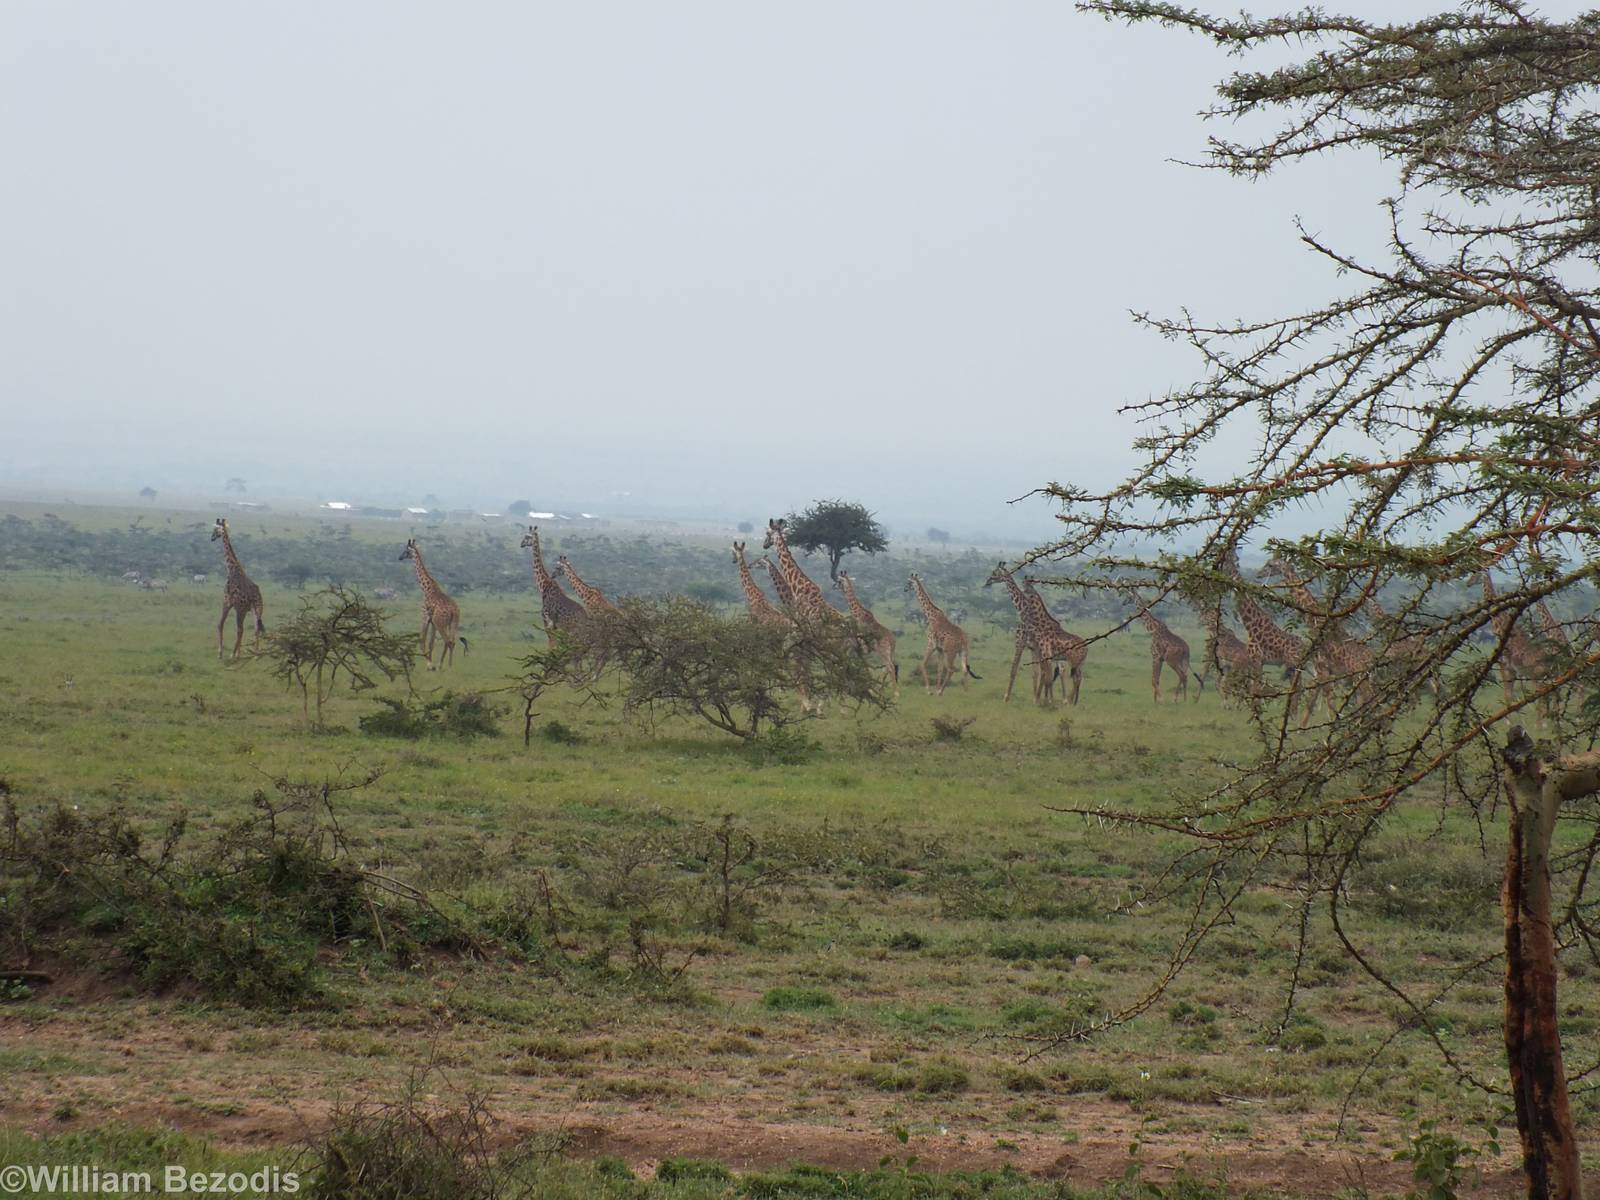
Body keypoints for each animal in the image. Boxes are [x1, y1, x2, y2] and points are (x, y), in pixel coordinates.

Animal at [209, 517, 265, 661]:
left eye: (215, 529)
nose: (212, 538)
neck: (232, 569)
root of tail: (256, 596)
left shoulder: (227, 602)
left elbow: (220, 624)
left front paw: (220, 653)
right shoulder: (240, 608)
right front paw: (237, 653)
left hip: (241, 609)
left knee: (241, 629)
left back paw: (233, 654)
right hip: (257, 608)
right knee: (255, 627)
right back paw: (255, 654)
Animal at [398, 539, 465, 669]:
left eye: (406, 551)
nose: (400, 557)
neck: (426, 589)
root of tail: (453, 611)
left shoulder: (425, 616)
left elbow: (422, 641)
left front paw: (429, 665)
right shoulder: (433, 621)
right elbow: (431, 643)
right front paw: (430, 663)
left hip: (441, 623)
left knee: (447, 641)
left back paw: (440, 665)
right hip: (453, 622)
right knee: (452, 641)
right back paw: (449, 666)